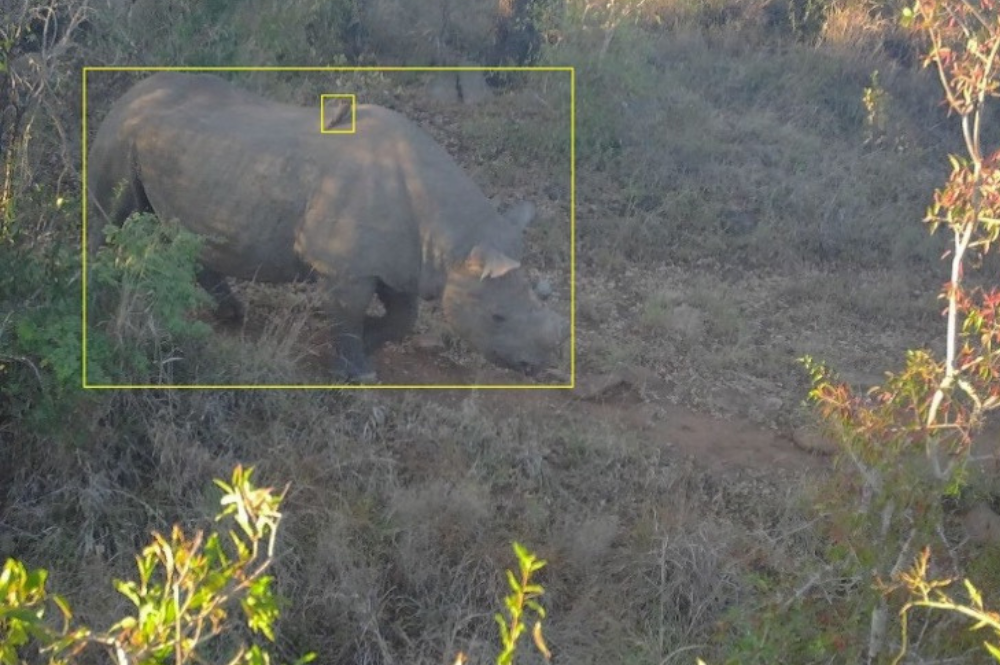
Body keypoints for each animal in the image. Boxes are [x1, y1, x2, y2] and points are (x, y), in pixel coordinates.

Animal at [87, 72, 568, 382]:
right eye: (497, 317)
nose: (536, 367)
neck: (455, 242)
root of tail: (131, 90)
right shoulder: (344, 266)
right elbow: (350, 313)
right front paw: (357, 373)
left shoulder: (400, 262)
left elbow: (404, 318)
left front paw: (366, 343)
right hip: (123, 130)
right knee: (113, 212)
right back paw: (99, 292)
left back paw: (230, 315)